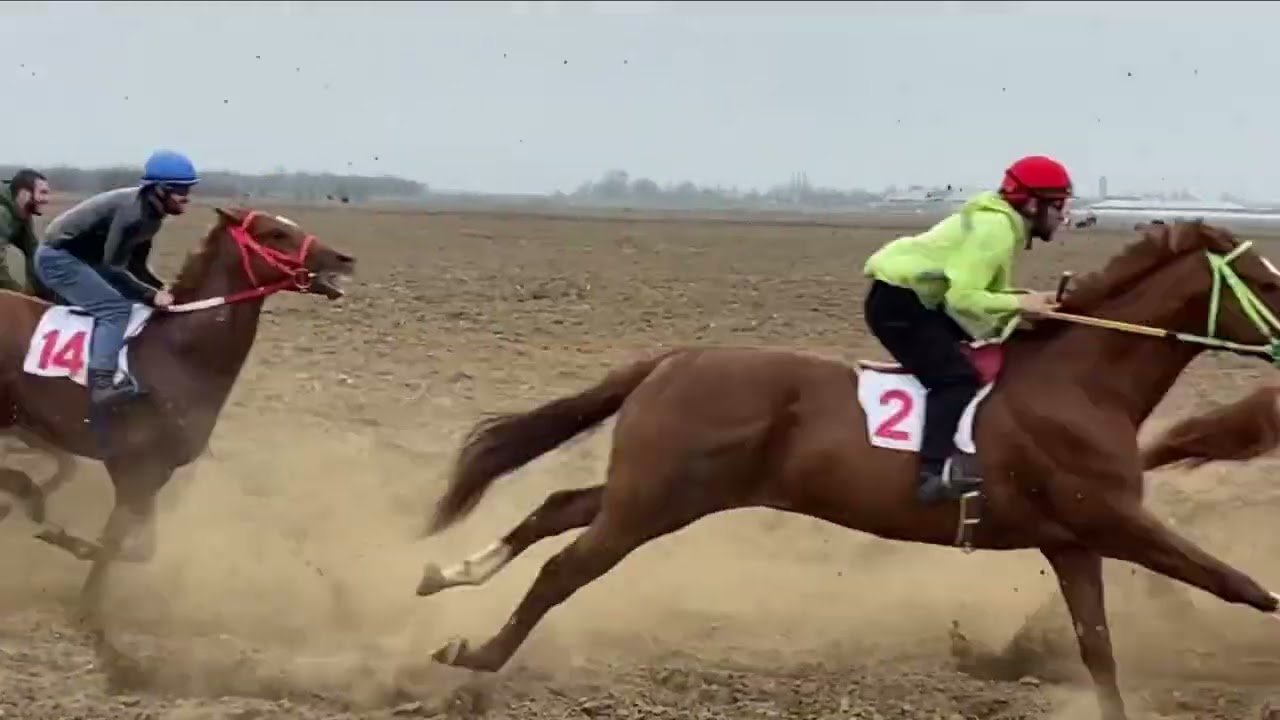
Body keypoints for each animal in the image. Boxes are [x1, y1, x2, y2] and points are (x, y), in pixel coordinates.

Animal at [0, 207, 354, 636]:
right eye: (275, 234)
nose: (343, 259)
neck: (178, 355)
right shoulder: (135, 467)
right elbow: (116, 540)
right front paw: (85, 605)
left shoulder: (155, 472)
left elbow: (139, 547)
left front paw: (71, 545)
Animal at [414, 219, 1280, 720]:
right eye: (1268, 280)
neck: (1082, 380)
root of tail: (674, 359)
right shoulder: (1114, 520)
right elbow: (1238, 584)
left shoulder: (1074, 542)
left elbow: (1098, 649)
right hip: (657, 500)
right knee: (565, 566)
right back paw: (474, 655)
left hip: (661, 489)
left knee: (558, 505)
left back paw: (449, 574)